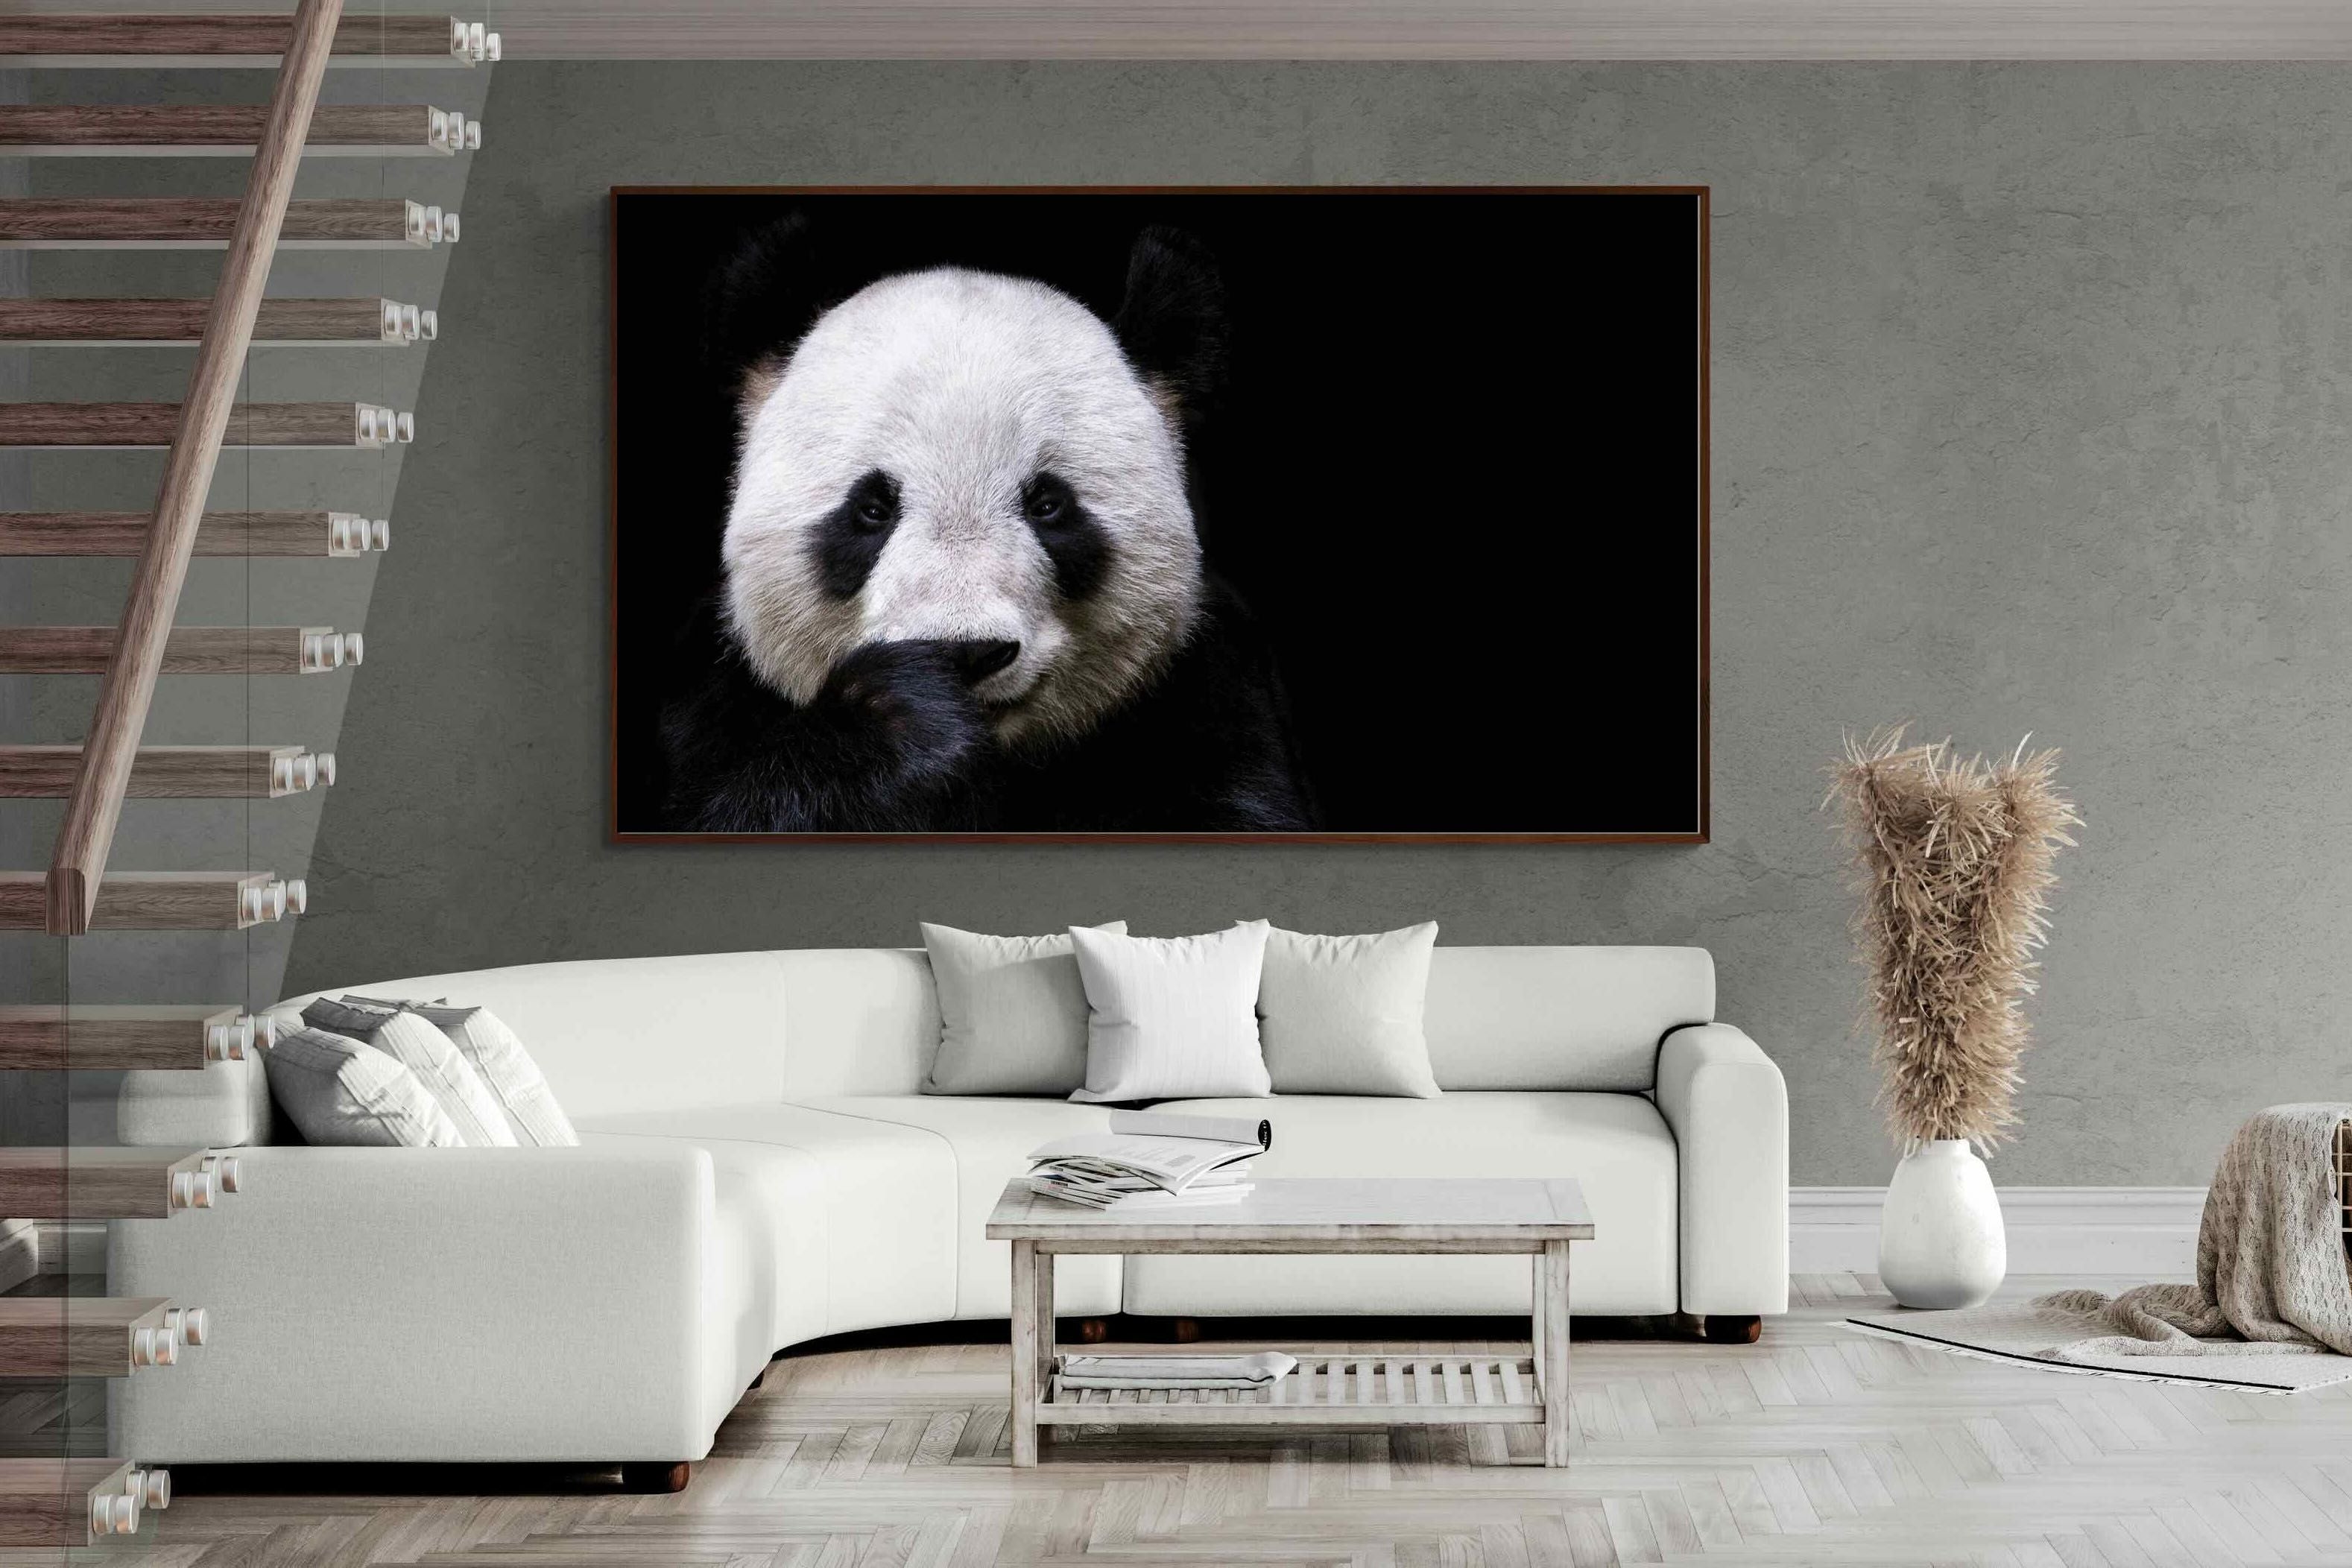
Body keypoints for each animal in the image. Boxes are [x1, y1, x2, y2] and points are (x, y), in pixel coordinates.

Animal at [655, 217, 1318, 833]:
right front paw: (899, 721)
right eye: (872, 509)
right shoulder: (712, 700)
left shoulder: (1206, 700)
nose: (967, 652)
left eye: (1048, 505)